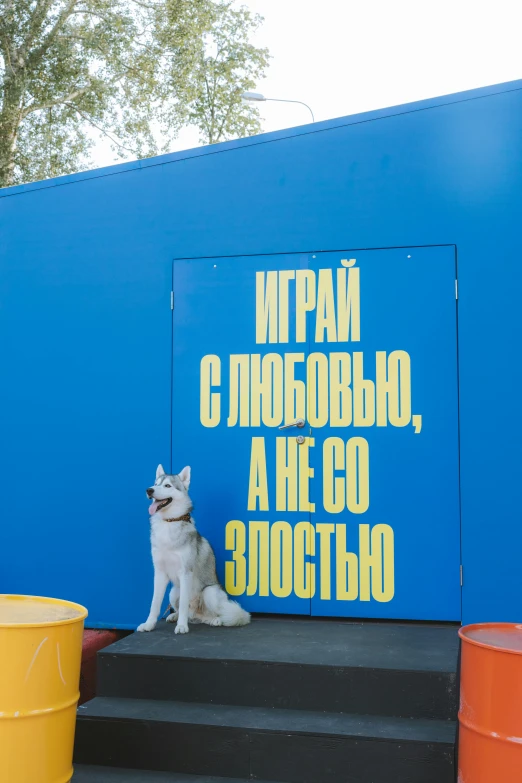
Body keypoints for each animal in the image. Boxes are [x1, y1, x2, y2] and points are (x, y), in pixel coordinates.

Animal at [136, 466, 250, 636]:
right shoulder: (160, 573)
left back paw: (214, 620)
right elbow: (154, 603)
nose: (149, 490)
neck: (169, 523)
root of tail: (196, 613)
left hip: (210, 593)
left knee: (215, 614)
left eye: (167, 485)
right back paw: (175, 616)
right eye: (155, 484)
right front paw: (149, 624)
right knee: (188, 613)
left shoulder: (185, 573)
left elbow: (184, 603)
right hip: (173, 592)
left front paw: (182, 626)